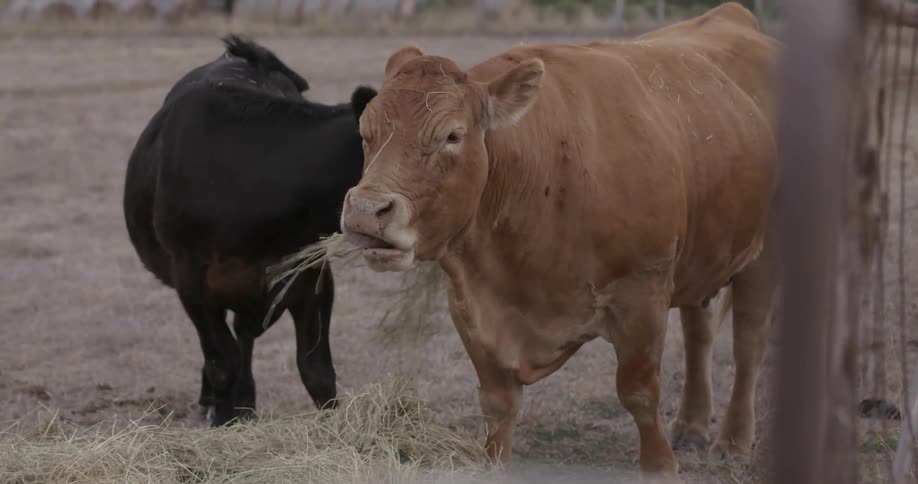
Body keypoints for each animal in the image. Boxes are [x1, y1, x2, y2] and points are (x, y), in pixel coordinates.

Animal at [123, 34, 377, 427]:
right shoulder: (190, 277)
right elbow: (221, 362)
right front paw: (222, 419)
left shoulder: (309, 274)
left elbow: (317, 370)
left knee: (244, 335)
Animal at [339, 3, 778, 480]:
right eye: (365, 131)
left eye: (452, 135)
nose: (366, 210)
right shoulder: (469, 304)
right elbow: (499, 403)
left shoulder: (642, 291)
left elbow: (639, 392)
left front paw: (660, 465)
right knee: (699, 332)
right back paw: (693, 426)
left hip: (762, 254)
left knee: (748, 345)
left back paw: (733, 441)